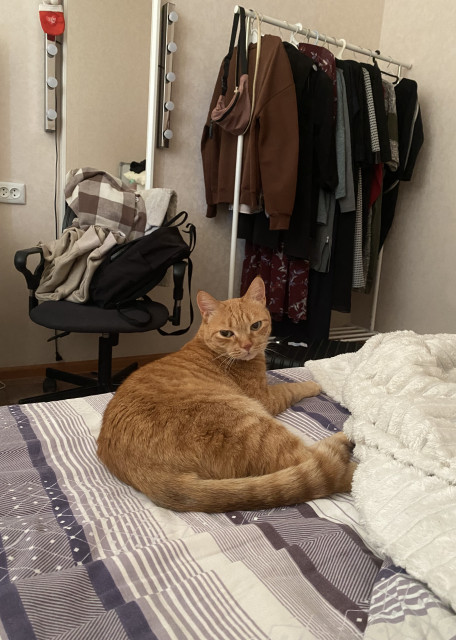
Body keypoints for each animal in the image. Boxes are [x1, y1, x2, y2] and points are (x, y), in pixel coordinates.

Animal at [97, 276, 356, 512]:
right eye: (226, 333)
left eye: (255, 326)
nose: (247, 346)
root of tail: (149, 476)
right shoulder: (265, 398)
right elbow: (291, 387)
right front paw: (313, 383)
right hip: (253, 422)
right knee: (320, 465)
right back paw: (350, 445)